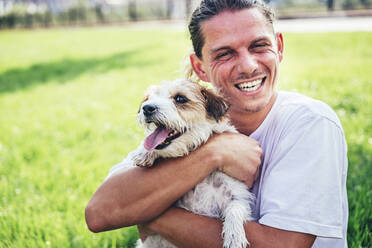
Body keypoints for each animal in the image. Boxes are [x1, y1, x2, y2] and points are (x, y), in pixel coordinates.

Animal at [132, 79, 256, 248]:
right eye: (149, 98)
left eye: (180, 98)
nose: (146, 108)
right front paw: (143, 153)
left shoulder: (238, 195)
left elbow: (235, 208)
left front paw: (234, 236)